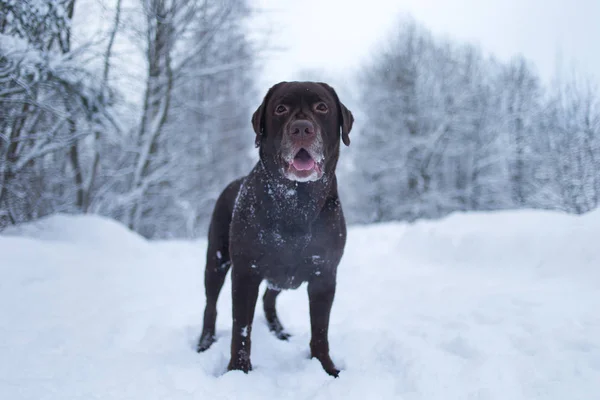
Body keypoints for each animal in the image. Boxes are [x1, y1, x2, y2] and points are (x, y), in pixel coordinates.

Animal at [197, 79, 354, 376]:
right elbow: (241, 328)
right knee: (210, 304)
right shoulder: (246, 271)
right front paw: (238, 370)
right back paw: (205, 342)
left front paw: (326, 368)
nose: (302, 128)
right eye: (281, 109)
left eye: (322, 107)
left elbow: (320, 329)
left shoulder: (324, 273)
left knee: (269, 299)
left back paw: (279, 331)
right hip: (217, 259)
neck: (296, 202)